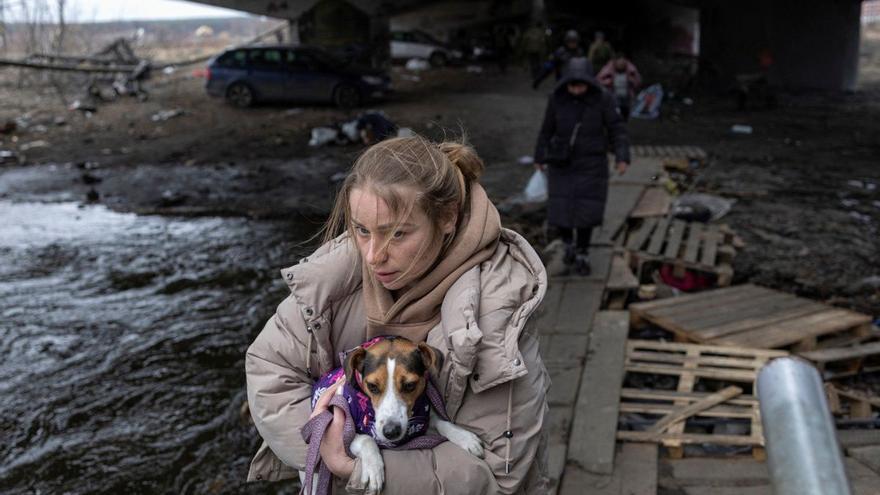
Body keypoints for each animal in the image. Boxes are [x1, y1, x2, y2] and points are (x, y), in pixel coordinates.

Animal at [310, 336, 484, 494]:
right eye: (372, 386)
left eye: (410, 385)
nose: (391, 432)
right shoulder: (343, 434)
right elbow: (366, 439)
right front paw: (374, 469)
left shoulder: (420, 420)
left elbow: (441, 422)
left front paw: (465, 437)